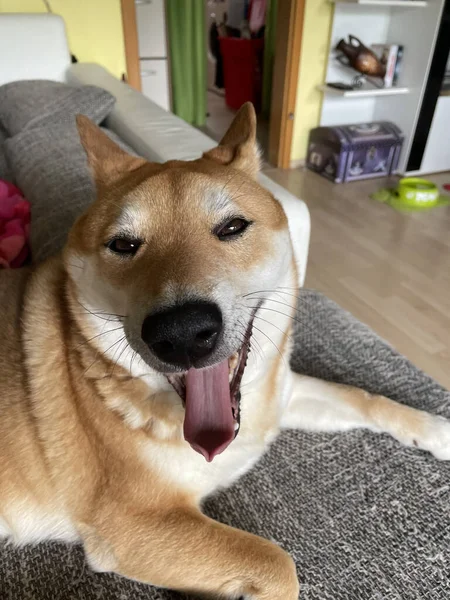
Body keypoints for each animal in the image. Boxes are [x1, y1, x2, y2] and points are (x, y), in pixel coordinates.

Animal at [0, 104, 450, 600]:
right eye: (123, 245)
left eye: (232, 227)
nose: (181, 332)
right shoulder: (131, 522)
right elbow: (275, 562)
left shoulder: (279, 396)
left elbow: (365, 398)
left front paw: (435, 430)